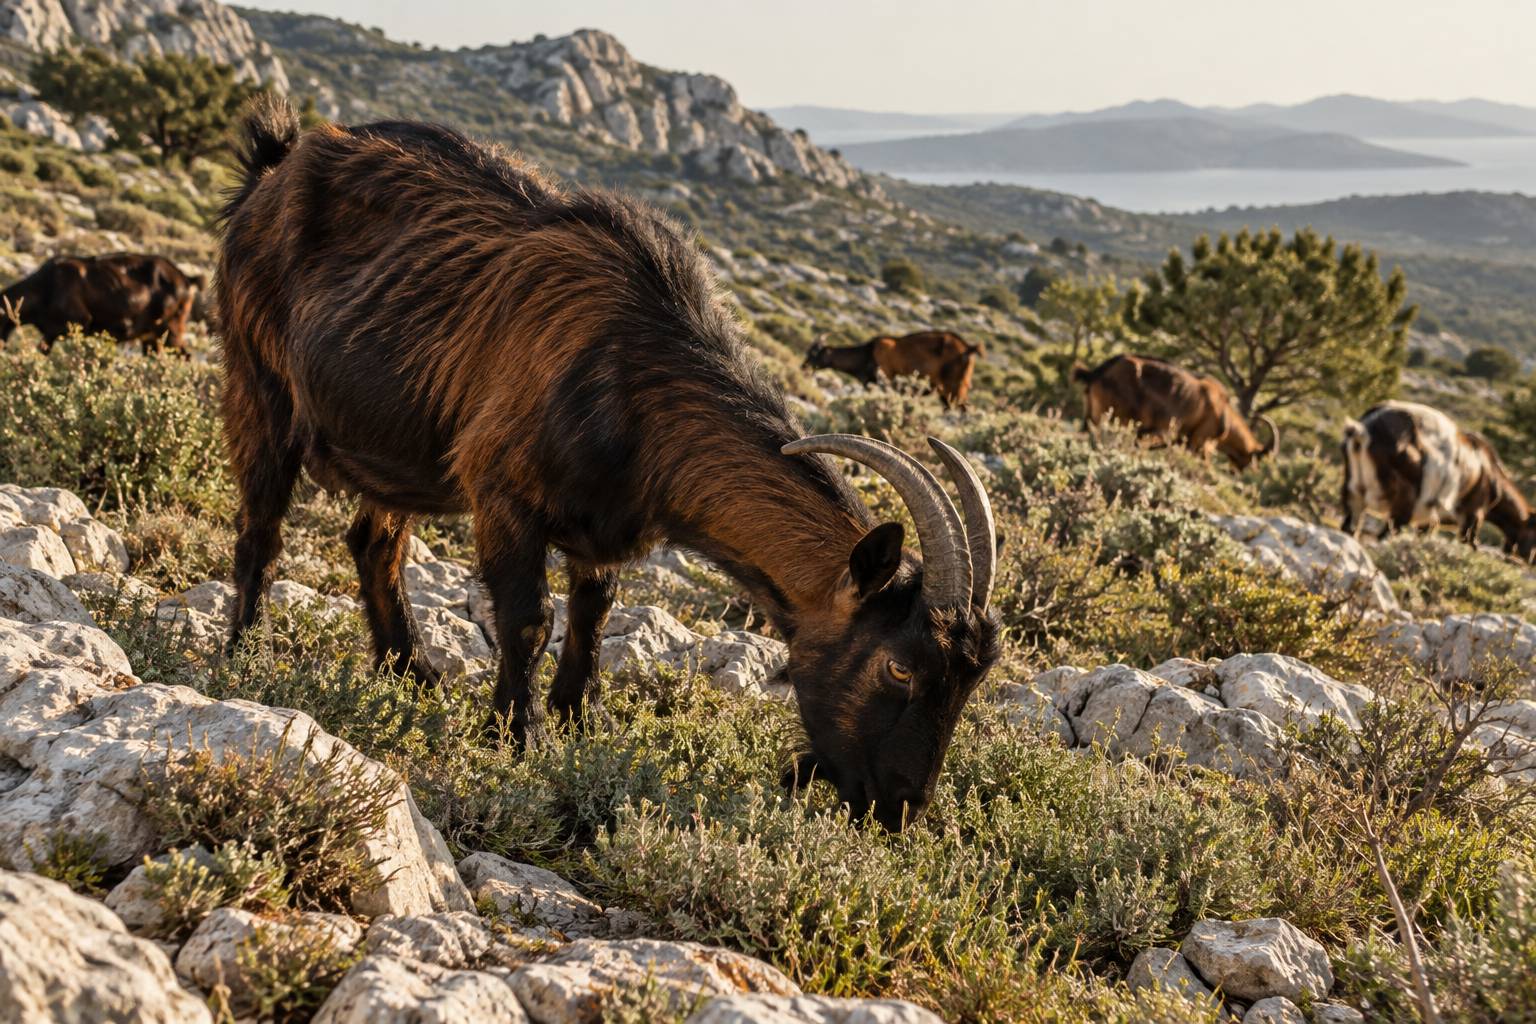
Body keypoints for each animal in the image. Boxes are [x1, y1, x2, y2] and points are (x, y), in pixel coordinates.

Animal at [1, 253, 202, 357]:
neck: (46, 287)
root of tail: (186, 280)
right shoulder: (50, 332)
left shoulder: (77, 323)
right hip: (152, 336)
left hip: (170, 329)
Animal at [804, 331, 982, 410]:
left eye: (813, 353)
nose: (803, 367)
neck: (867, 353)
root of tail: (968, 348)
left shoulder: (884, 380)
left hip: (955, 387)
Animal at [1073, 353, 1278, 469]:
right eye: (1253, 459)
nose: (1245, 472)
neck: (1223, 410)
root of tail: (1096, 373)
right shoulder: (1201, 441)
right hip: (1117, 420)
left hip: (1092, 417)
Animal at [1341, 400, 1536, 558]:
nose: (1530, 560)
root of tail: (1363, 431)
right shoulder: (1474, 513)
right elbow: (1470, 542)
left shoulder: (1430, 519)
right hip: (1406, 496)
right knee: (1388, 532)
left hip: (1354, 490)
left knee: (1350, 527)